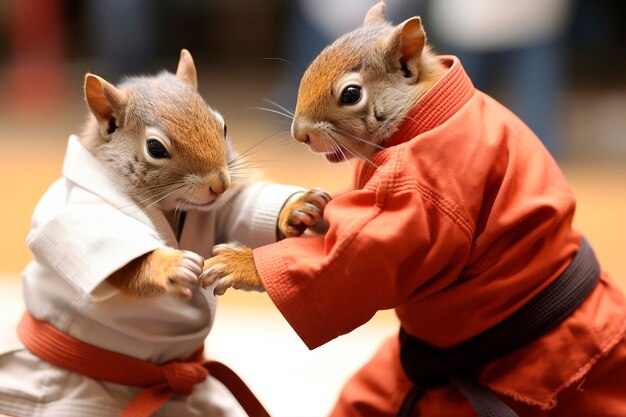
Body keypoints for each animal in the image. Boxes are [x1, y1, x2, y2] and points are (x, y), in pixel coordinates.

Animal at [81, 48, 332, 298]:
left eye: (224, 127)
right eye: (155, 148)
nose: (221, 185)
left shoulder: (222, 207)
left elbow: (242, 209)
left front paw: (297, 206)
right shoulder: (98, 216)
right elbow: (128, 264)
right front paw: (172, 265)